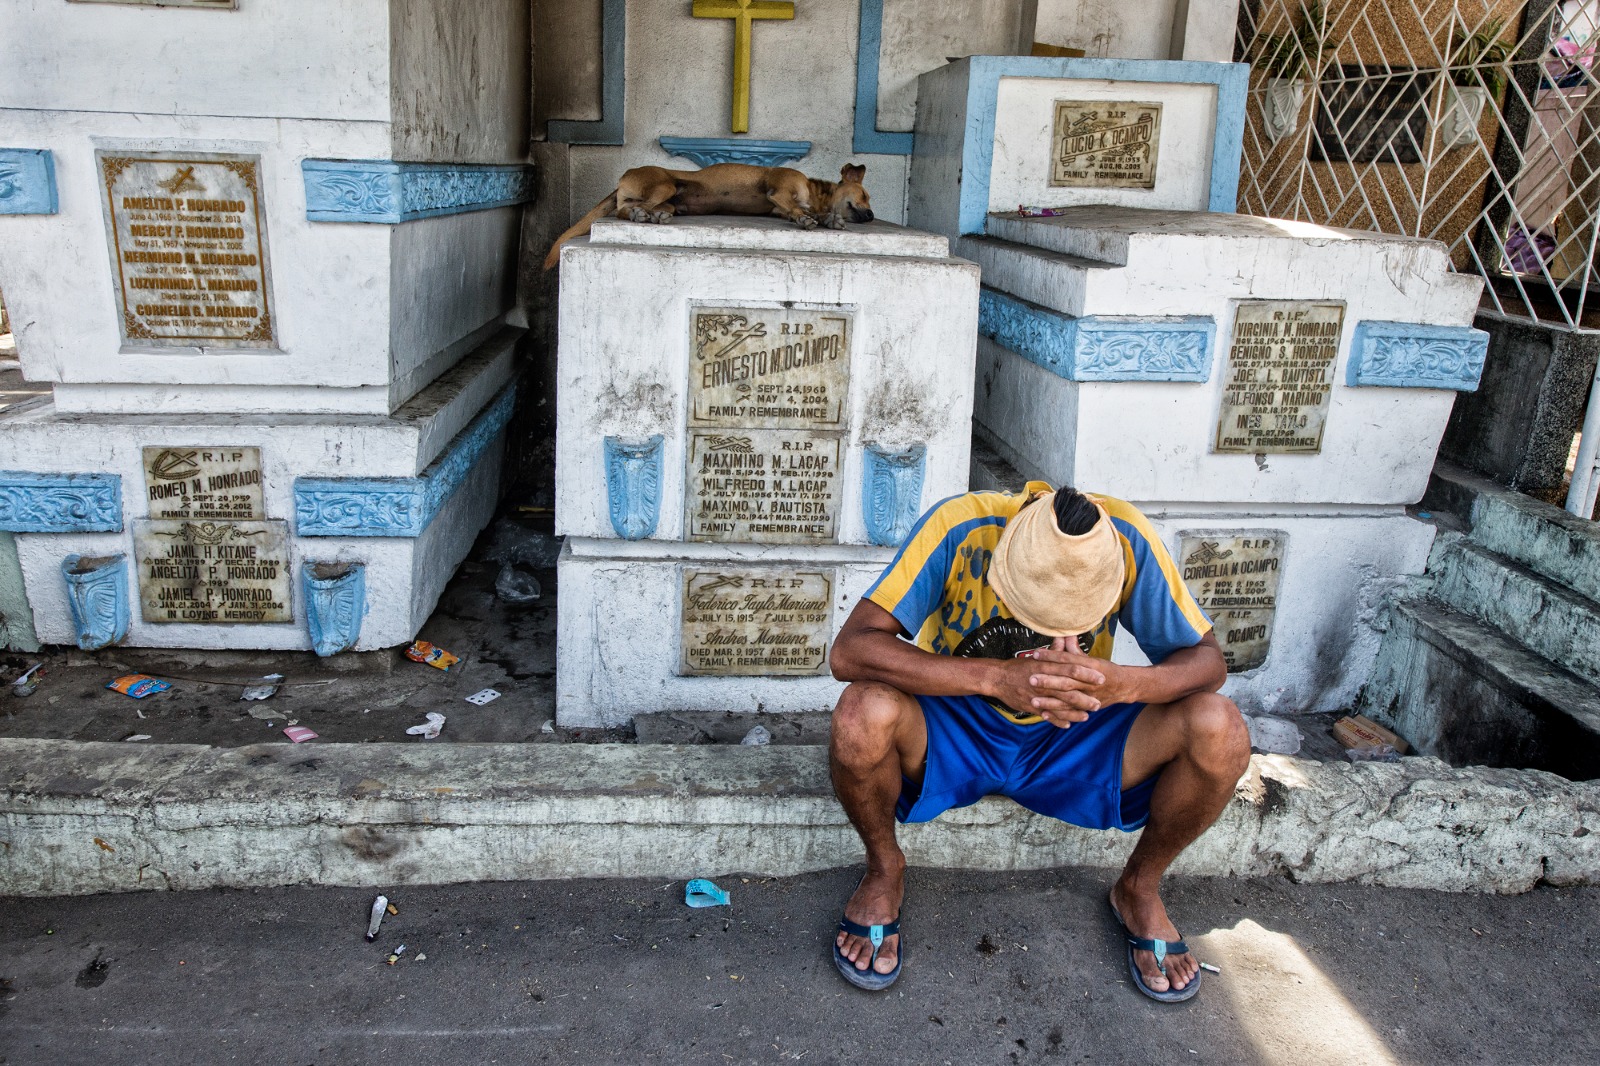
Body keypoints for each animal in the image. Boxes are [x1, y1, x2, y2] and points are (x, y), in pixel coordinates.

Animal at [543, 162, 874, 269]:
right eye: (865, 196)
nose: (871, 216)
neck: (815, 193)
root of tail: (623, 177)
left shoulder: (780, 209)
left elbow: (806, 213)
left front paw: (827, 220)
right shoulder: (779, 192)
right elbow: (797, 209)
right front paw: (809, 218)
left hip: (671, 201)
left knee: (637, 209)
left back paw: (652, 216)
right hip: (665, 184)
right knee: (625, 210)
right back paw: (641, 215)